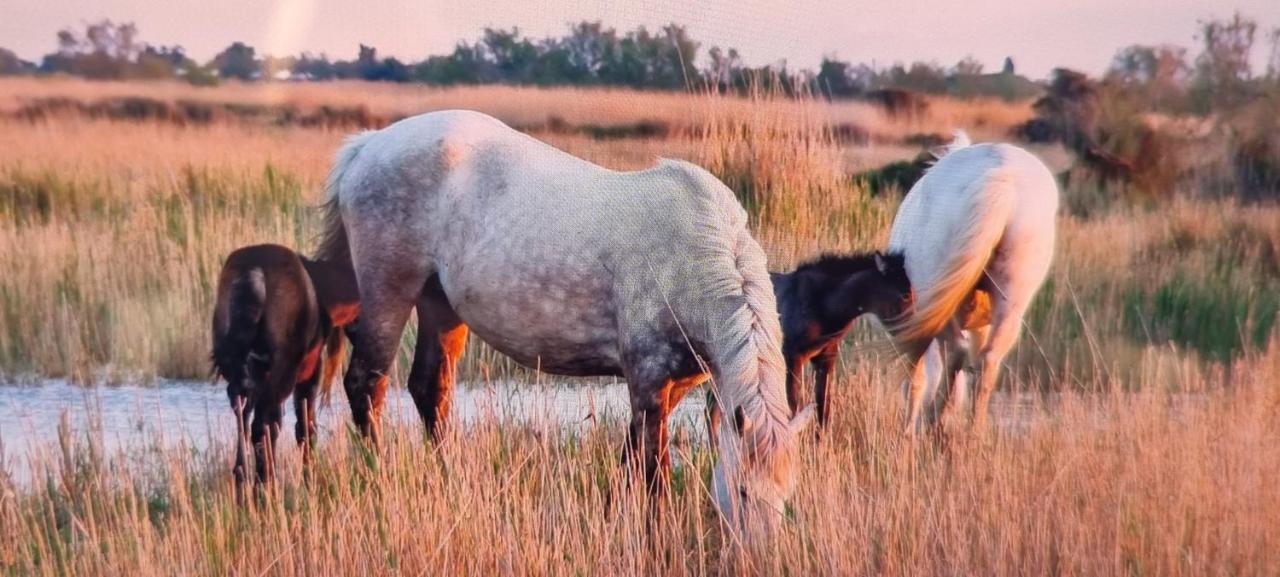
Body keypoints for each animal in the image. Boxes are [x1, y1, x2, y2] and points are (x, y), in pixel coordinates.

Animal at [316, 109, 814, 532]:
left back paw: (450, 477)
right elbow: (652, 468)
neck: (697, 256)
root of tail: (368, 144)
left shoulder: (673, 385)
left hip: (441, 306)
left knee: (429, 389)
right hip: (389, 293)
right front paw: (653, 531)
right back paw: (378, 476)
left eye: (786, 497)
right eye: (743, 491)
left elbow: (631, 456)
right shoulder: (648, 380)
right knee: (367, 385)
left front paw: (614, 515)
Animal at [890, 134, 1059, 434]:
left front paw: (908, 428)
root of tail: (1004, 180)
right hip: (1010, 301)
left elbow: (917, 377)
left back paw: (933, 420)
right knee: (987, 361)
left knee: (956, 351)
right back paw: (973, 431)